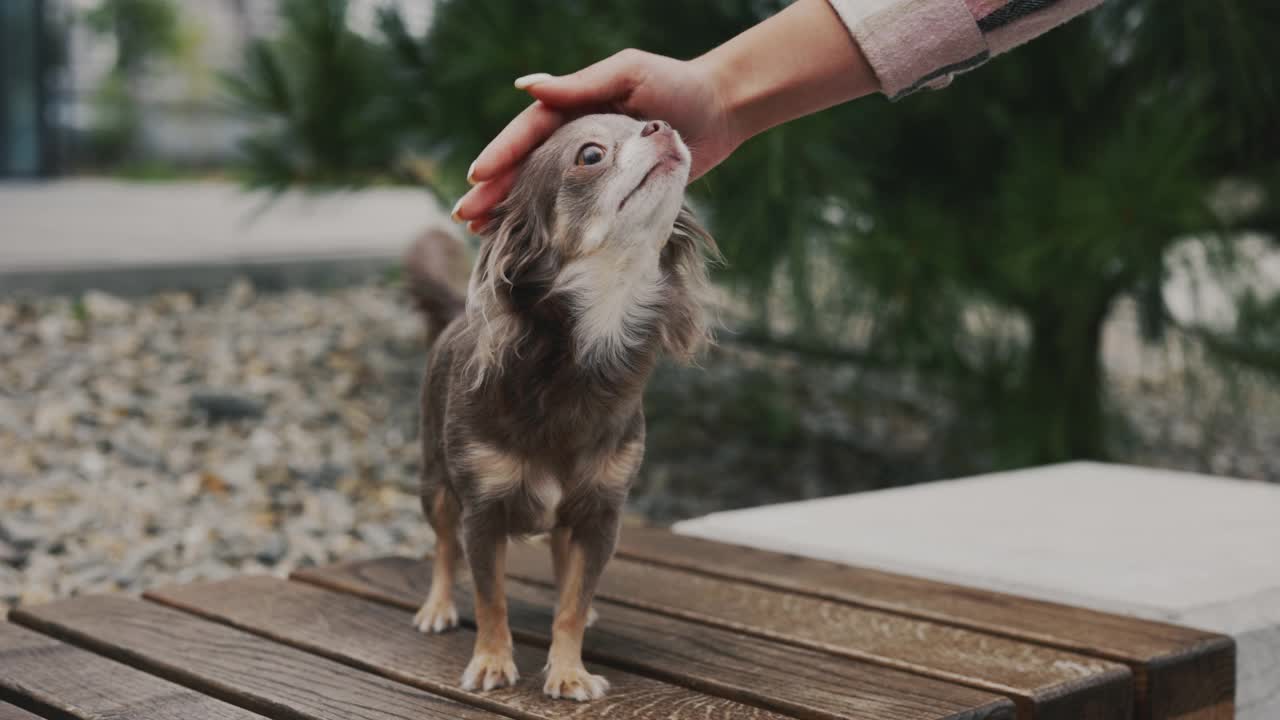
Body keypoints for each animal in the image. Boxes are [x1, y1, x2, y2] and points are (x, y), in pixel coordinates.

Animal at [404, 114, 716, 696]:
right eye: (590, 155)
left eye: (637, 121)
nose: (660, 123)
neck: (584, 357)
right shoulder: (481, 514)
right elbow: (490, 597)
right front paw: (492, 660)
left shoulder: (600, 516)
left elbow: (572, 599)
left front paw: (570, 670)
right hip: (435, 484)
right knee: (442, 547)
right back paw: (437, 606)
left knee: (559, 557)